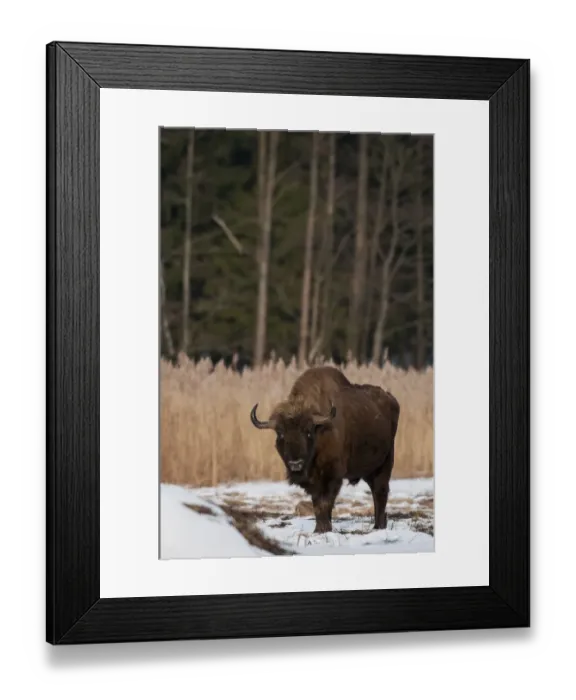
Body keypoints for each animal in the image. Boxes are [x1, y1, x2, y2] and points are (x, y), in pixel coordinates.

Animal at [250, 366, 400, 534]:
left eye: (308, 431)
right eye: (280, 433)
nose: (296, 464)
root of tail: (391, 400)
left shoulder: (332, 476)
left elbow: (325, 502)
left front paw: (323, 528)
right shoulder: (313, 482)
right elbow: (317, 502)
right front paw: (320, 528)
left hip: (384, 464)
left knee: (380, 493)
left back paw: (378, 526)